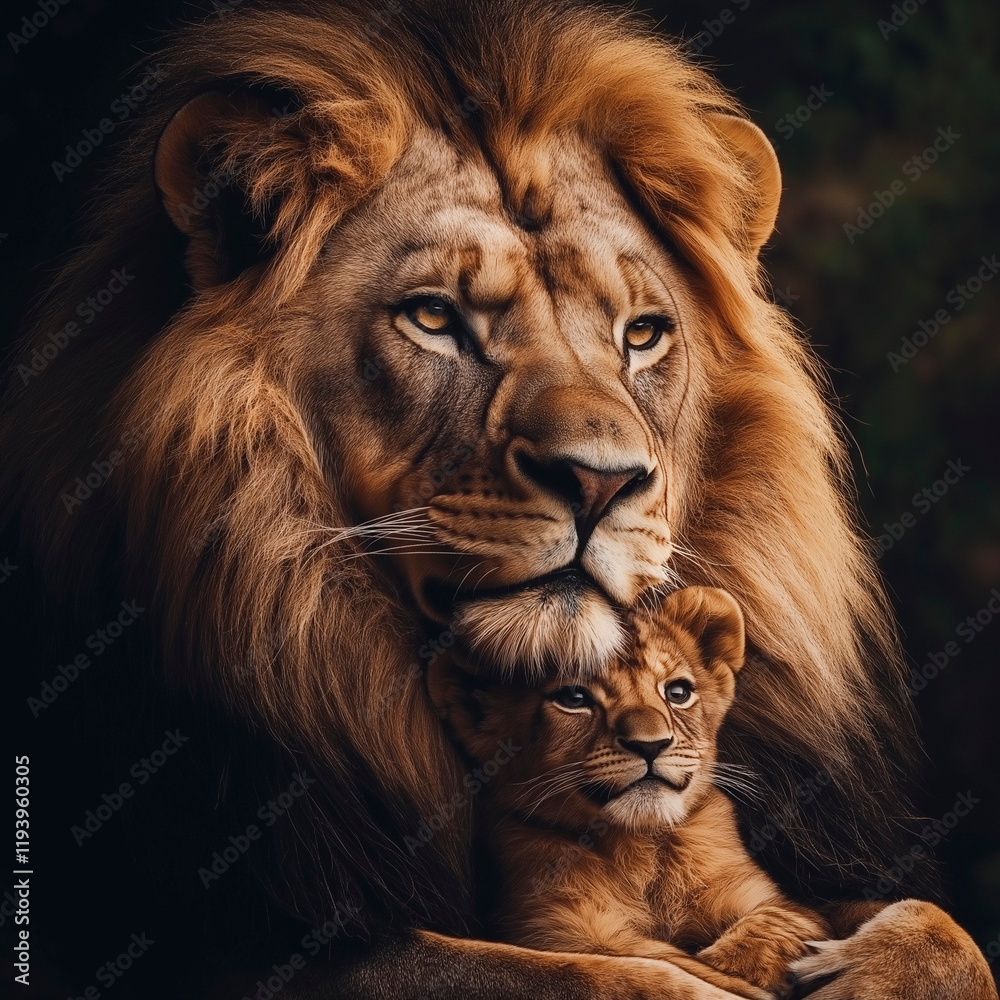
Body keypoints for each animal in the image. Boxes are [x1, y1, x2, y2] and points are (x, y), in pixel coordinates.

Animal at [429, 586, 830, 1000]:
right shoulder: (553, 928)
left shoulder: (759, 897)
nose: (651, 745)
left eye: (678, 692)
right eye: (574, 699)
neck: (641, 847)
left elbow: (777, 926)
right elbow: (654, 960)